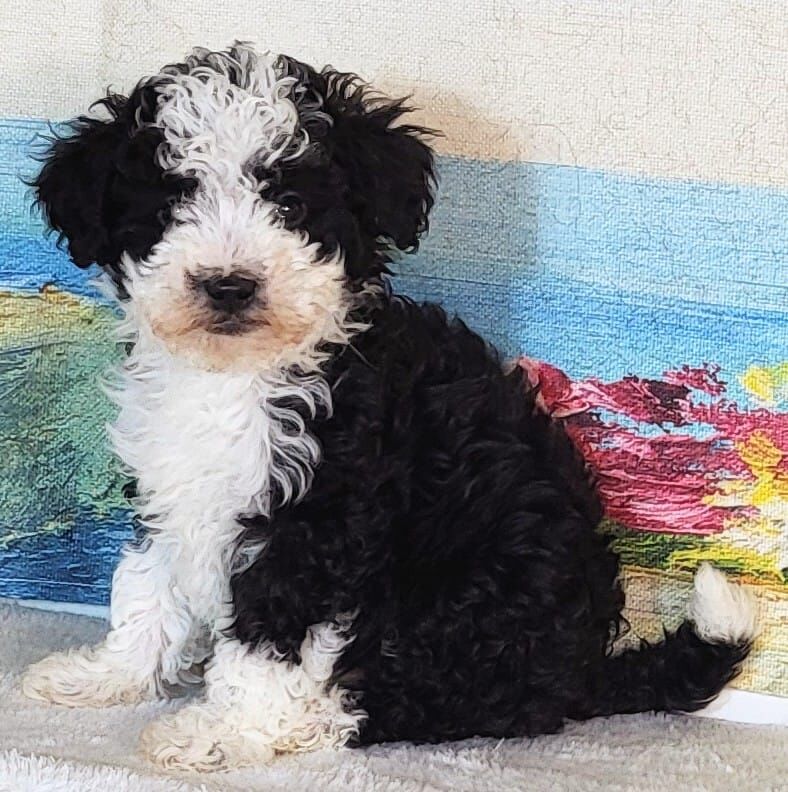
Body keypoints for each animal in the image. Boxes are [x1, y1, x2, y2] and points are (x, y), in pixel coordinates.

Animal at [21, 43, 756, 772]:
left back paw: (320, 721)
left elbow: (266, 640)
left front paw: (225, 733)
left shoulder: (316, 519)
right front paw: (110, 675)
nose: (229, 286)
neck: (240, 376)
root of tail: (586, 673)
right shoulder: (172, 486)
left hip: (467, 597)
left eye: (291, 204)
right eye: (171, 206)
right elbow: (146, 586)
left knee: (431, 697)